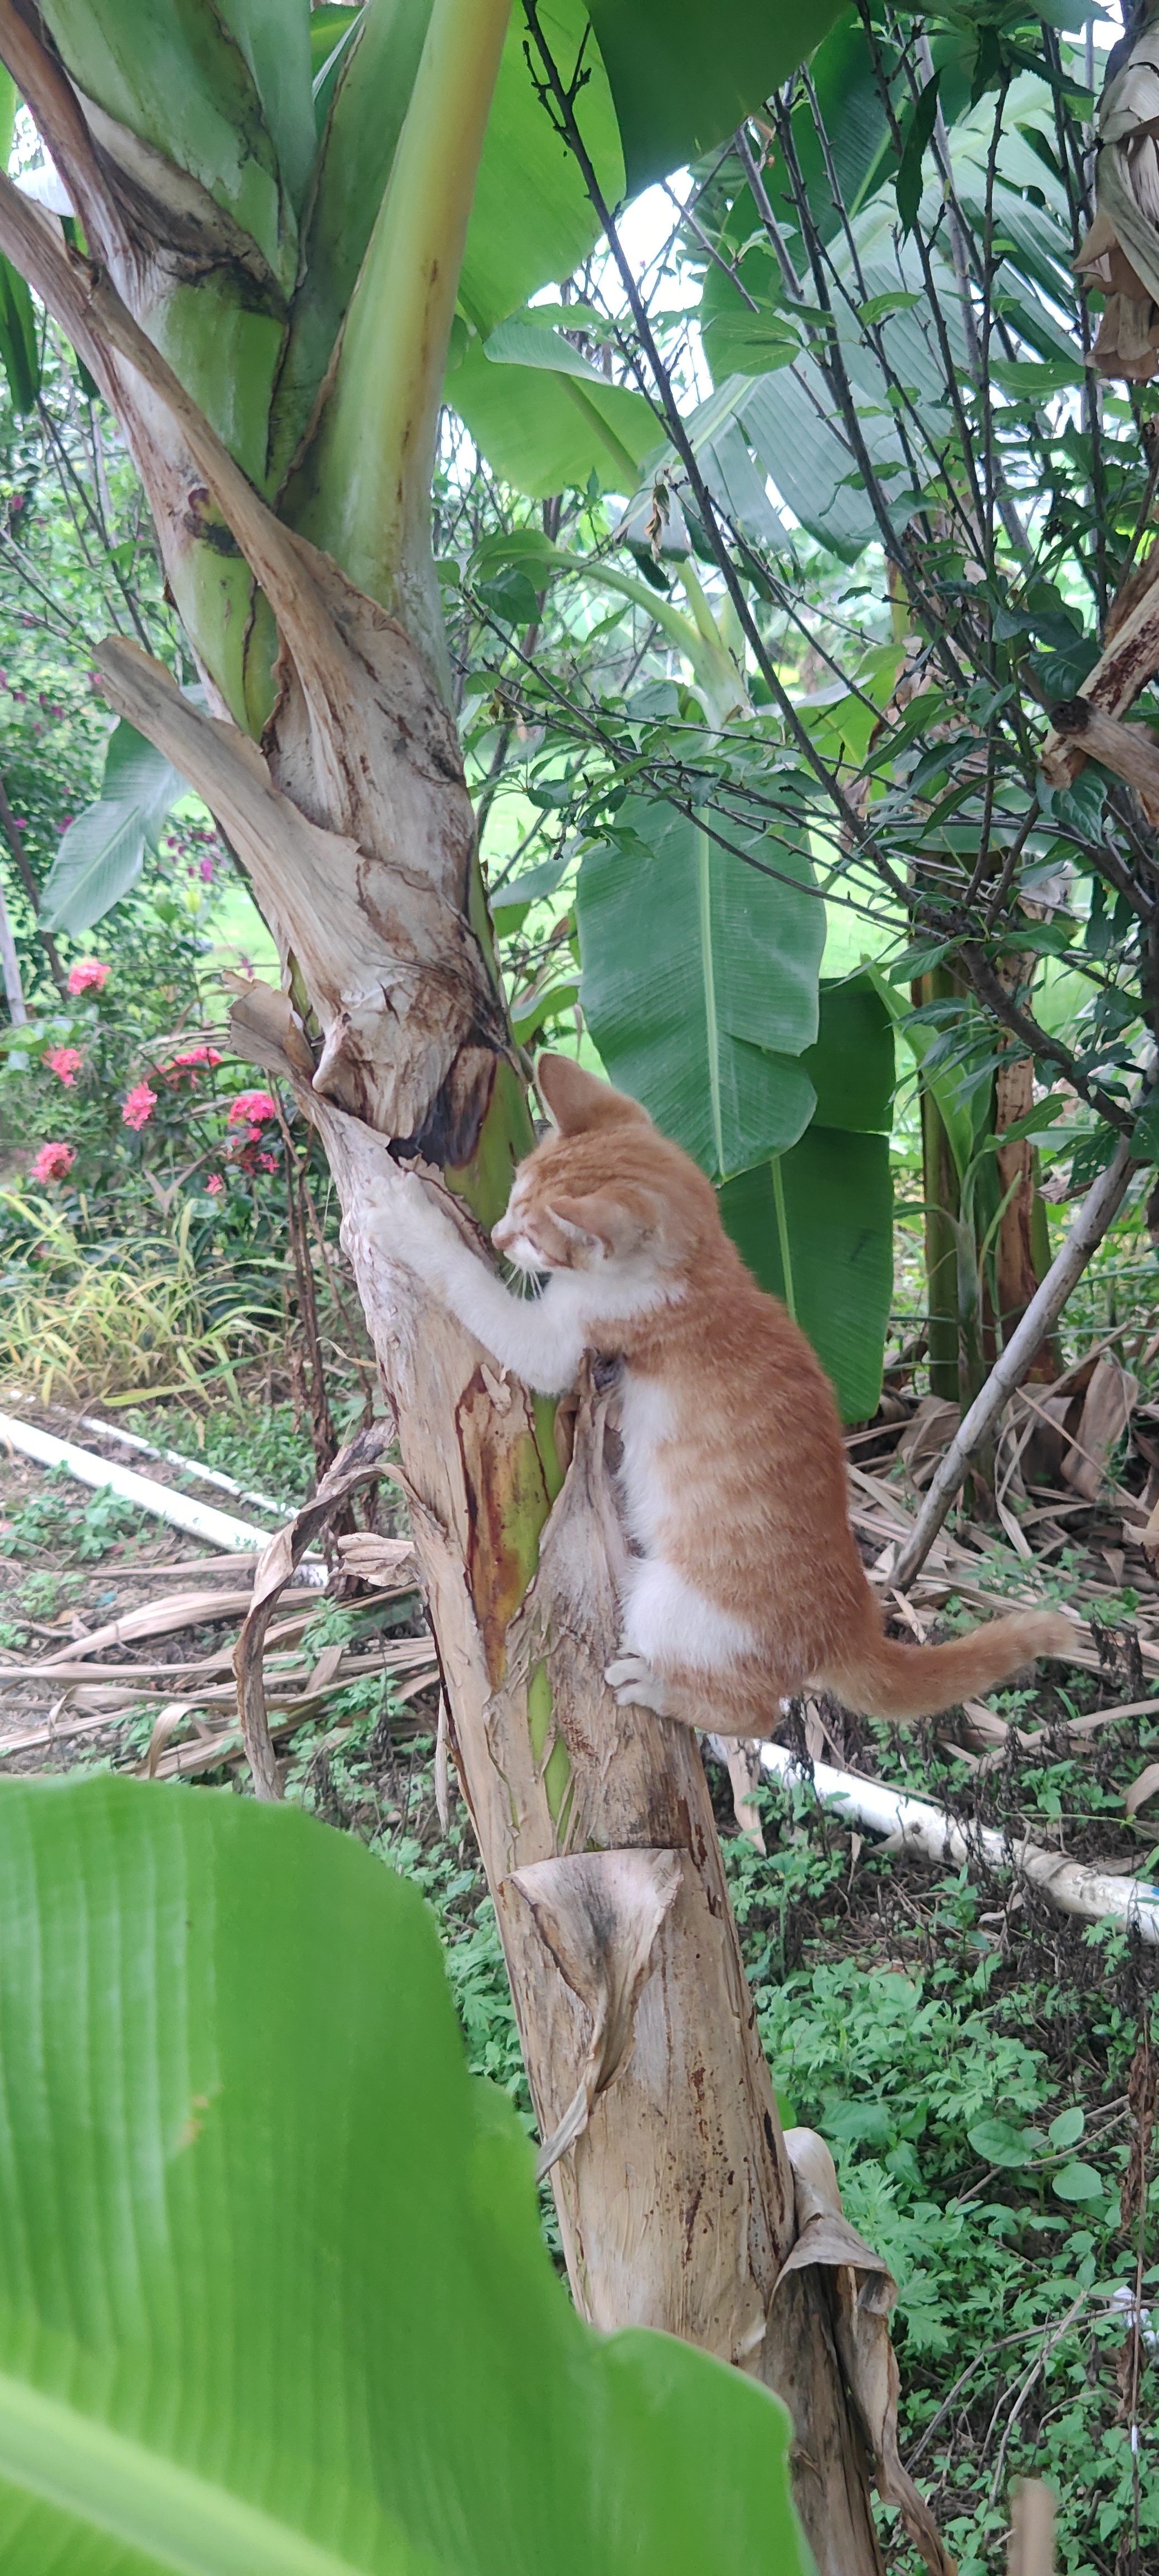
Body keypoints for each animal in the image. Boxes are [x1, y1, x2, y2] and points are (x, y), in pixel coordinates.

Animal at [386, 1046, 1066, 1731]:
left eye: (532, 1234)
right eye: (513, 1198)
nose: (500, 1237)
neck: (703, 1267)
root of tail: (850, 1624)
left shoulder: (573, 1334)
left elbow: (476, 1293)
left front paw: (404, 1217)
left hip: (667, 1599)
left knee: (758, 1713)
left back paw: (658, 1689)